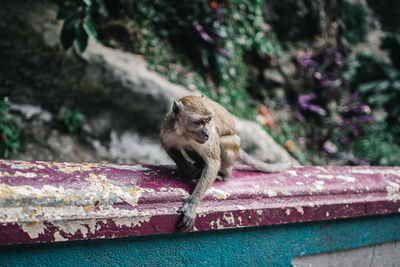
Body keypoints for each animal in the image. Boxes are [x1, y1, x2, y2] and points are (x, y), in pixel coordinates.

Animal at [159, 95, 290, 231]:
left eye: (209, 120)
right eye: (200, 122)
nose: (207, 133)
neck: (186, 135)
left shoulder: (210, 140)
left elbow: (213, 163)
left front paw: (192, 205)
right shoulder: (169, 130)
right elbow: (167, 145)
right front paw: (189, 170)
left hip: (233, 144)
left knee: (222, 143)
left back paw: (224, 175)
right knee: (190, 148)